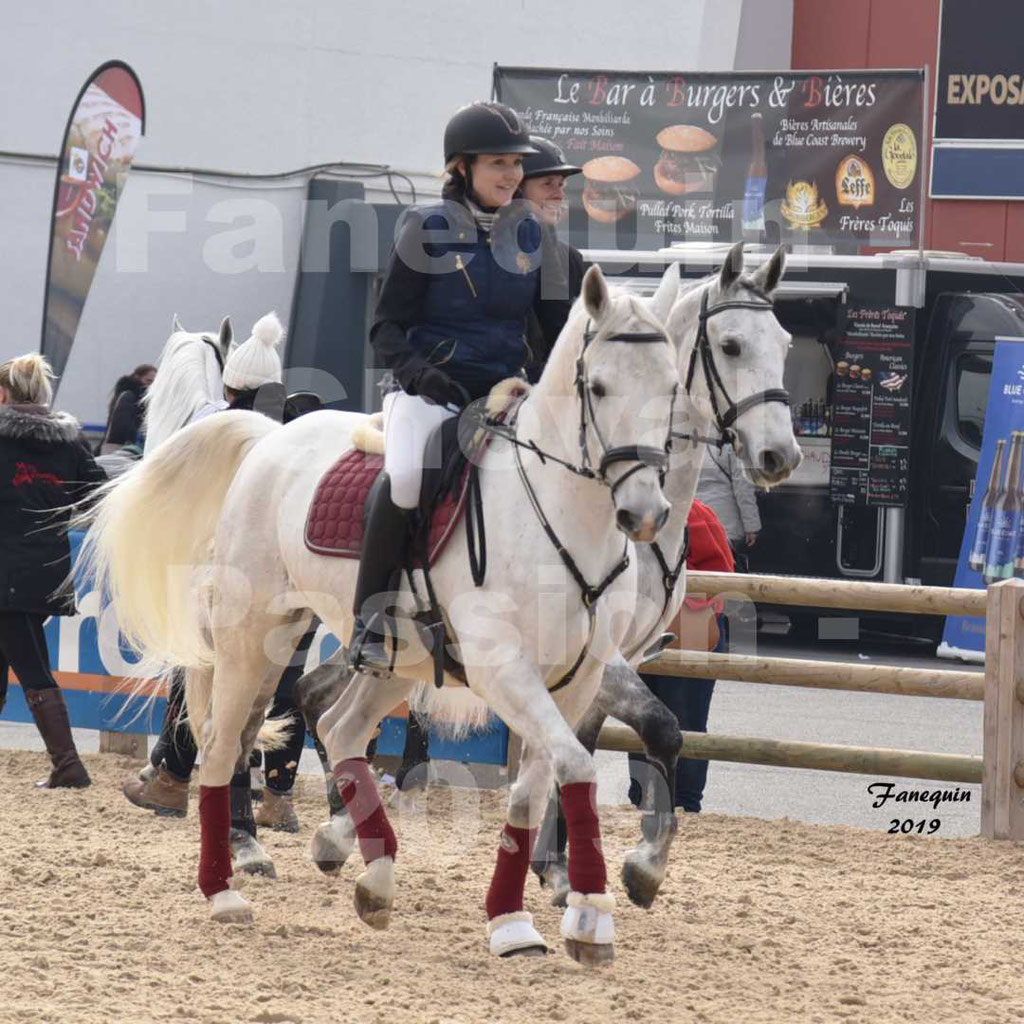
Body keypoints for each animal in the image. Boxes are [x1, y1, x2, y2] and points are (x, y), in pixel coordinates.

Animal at [81, 266, 679, 966]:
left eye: (671, 387)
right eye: (599, 386)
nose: (644, 513)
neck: (560, 517)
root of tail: (269, 437)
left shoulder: (577, 681)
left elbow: (536, 788)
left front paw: (521, 922)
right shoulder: (505, 669)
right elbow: (578, 767)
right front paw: (589, 914)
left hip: (398, 660)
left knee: (339, 729)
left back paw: (375, 876)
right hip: (255, 639)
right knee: (225, 745)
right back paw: (225, 892)